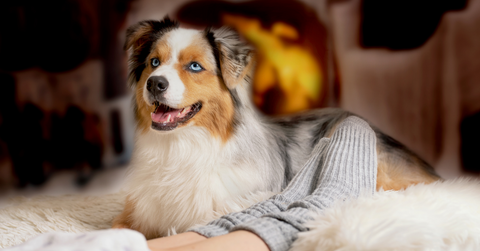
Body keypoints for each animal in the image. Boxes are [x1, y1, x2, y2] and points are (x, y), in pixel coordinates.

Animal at [111, 17, 438, 239]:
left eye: (194, 66)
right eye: (154, 62)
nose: (155, 83)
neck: (181, 147)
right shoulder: (136, 212)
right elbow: (121, 228)